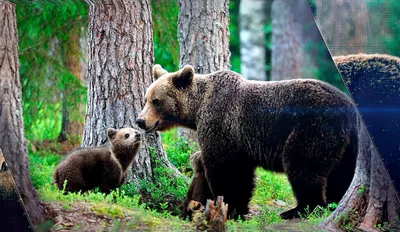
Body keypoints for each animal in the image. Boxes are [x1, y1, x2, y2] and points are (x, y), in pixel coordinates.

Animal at [138, 65, 360, 219]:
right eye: (146, 98)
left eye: (156, 101)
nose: (140, 121)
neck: (197, 109)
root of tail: (348, 107)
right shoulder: (241, 141)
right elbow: (240, 172)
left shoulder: (222, 124)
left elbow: (226, 170)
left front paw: (230, 207)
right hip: (348, 142)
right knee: (342, 171)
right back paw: (334, 201)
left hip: (313, 128)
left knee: (302, 165)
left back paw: (300, 209)